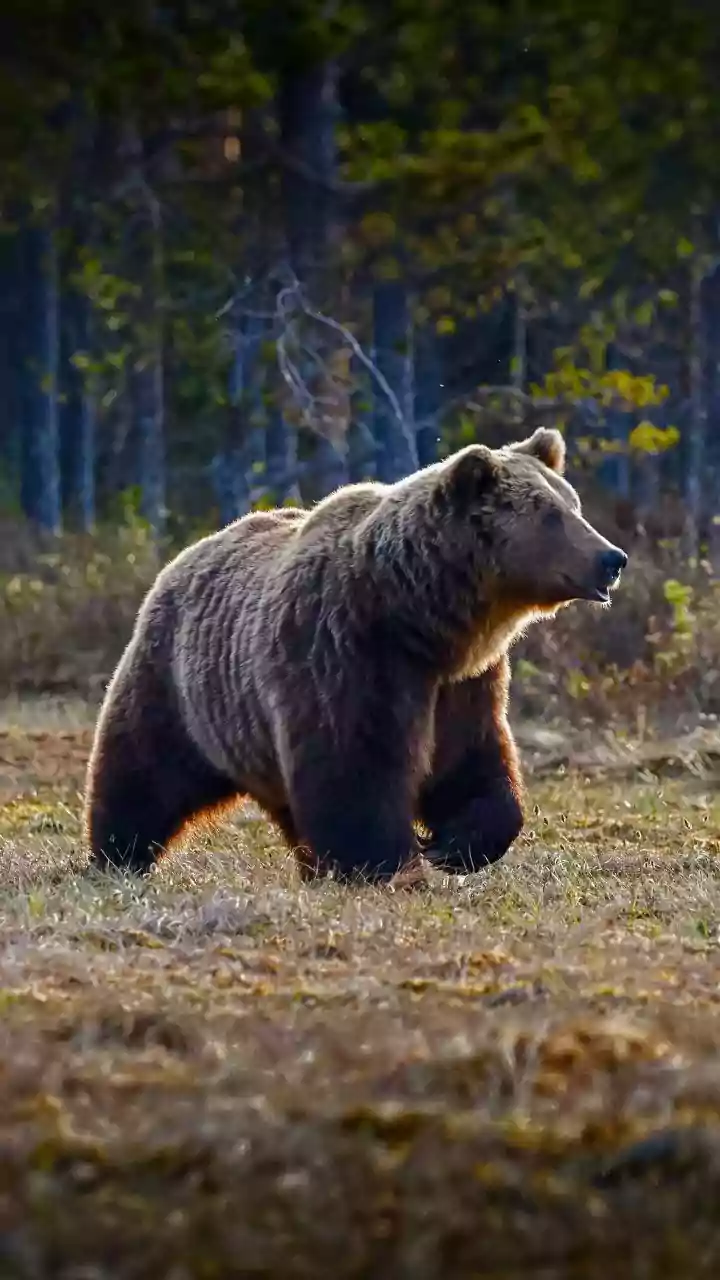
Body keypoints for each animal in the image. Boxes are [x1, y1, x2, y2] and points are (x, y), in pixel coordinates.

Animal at [84, 427, 627, 884]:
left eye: (573, 504)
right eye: (550, 515)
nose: (612, 557)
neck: (421, 618)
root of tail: (188, 554)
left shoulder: (463, 682)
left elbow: (471, 760)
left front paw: (453, 845)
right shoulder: (347, 652)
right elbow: (356, 766)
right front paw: (386, 863)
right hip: (180, 684)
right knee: (143, 769)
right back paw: (117, 855)